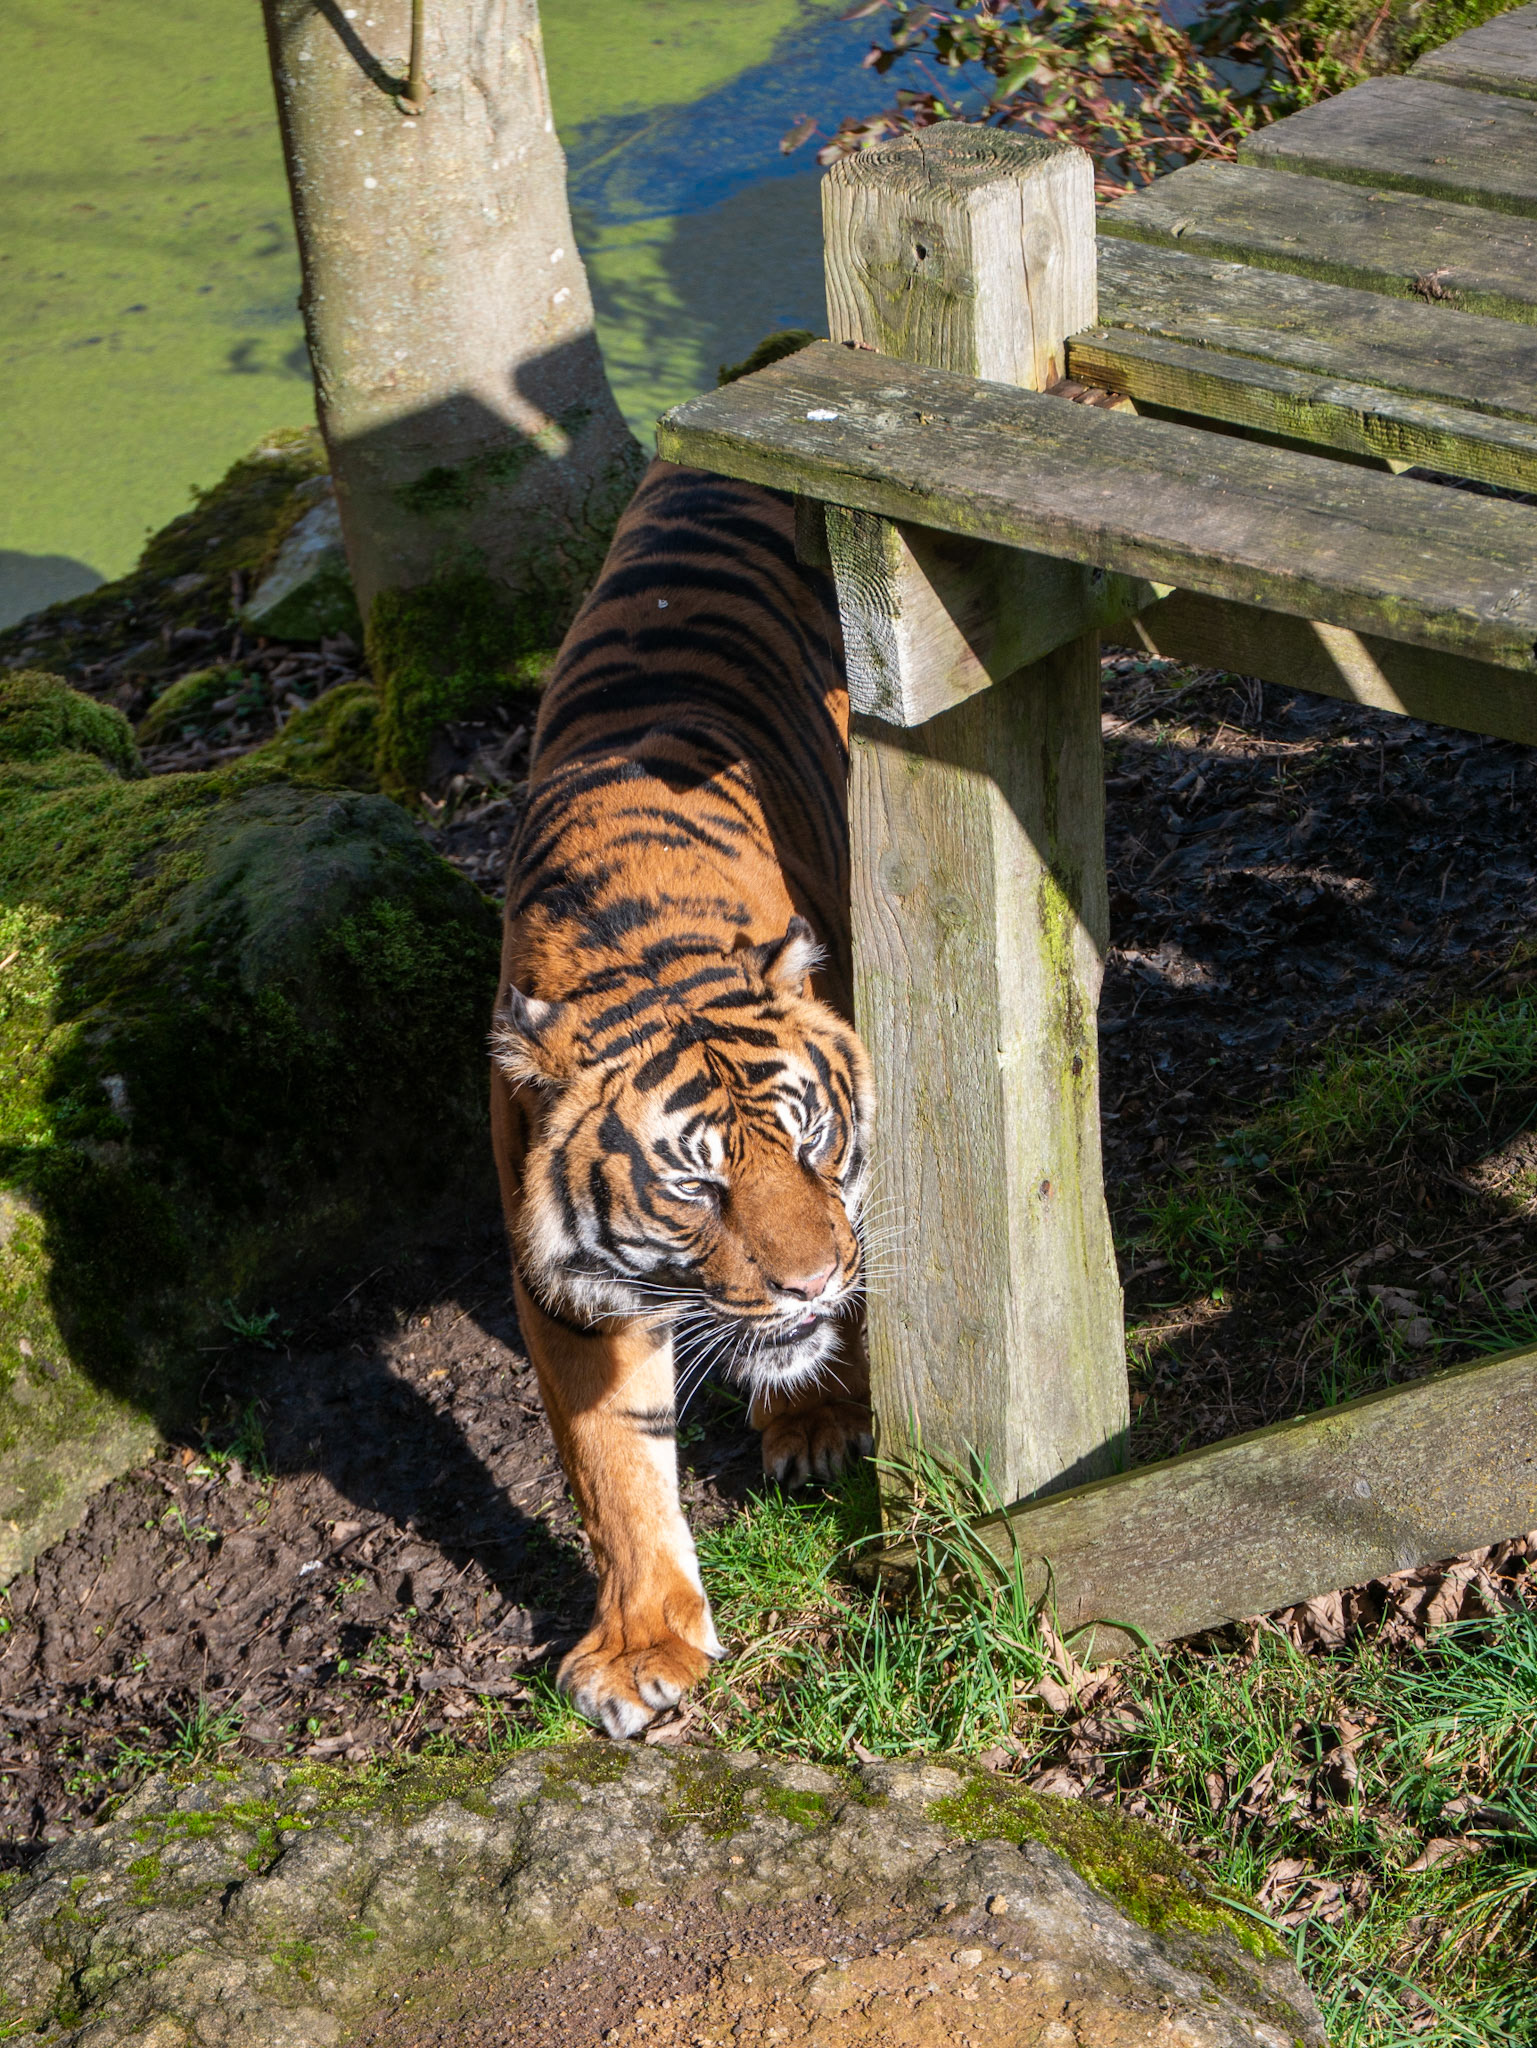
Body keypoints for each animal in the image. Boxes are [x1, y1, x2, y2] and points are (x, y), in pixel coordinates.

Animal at [489, 456, 875, 1739]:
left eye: (812, 1141)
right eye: (696, 1190)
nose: (810, 1280)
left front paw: (826, 1412)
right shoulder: (563, 1285)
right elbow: (612, 1463)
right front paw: (644, 1646)